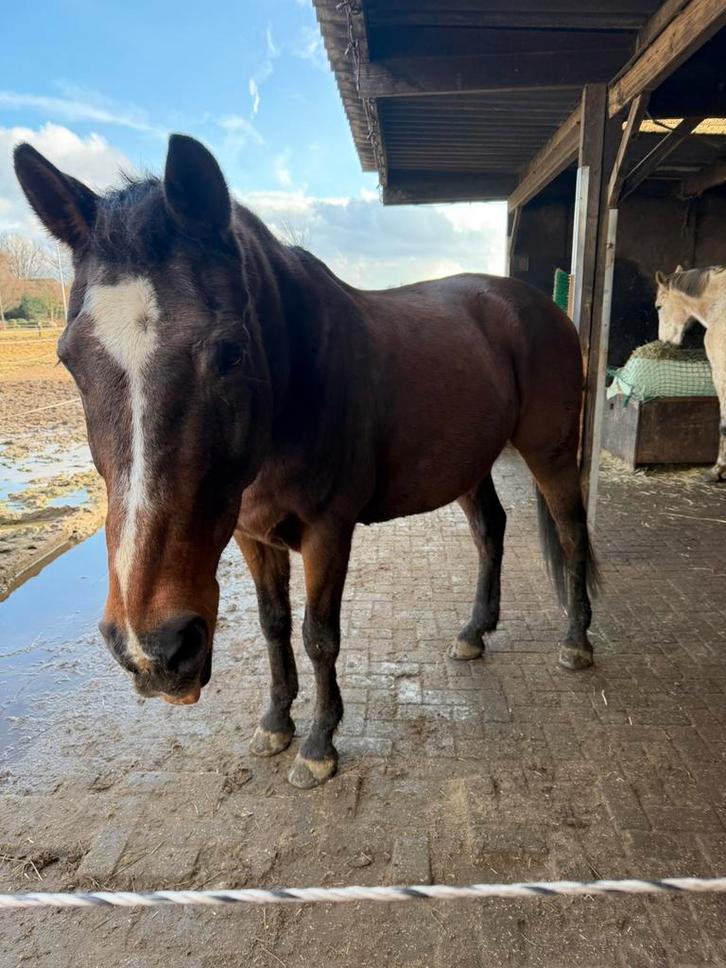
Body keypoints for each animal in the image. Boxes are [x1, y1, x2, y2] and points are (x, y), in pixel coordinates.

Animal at [14, 134, 597, 788]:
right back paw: (474, 633)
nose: (154, 652)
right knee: (490, 531)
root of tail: (536, 305)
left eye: (230, 352)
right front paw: (276, 722)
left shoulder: (328, 531)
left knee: (572, 532)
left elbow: (319, 635)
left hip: (550, 452)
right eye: (69, 360)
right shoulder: (251, 535)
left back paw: (577, 641)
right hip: (470, 464)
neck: (297, 380)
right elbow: (273, 625)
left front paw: (319, 743)